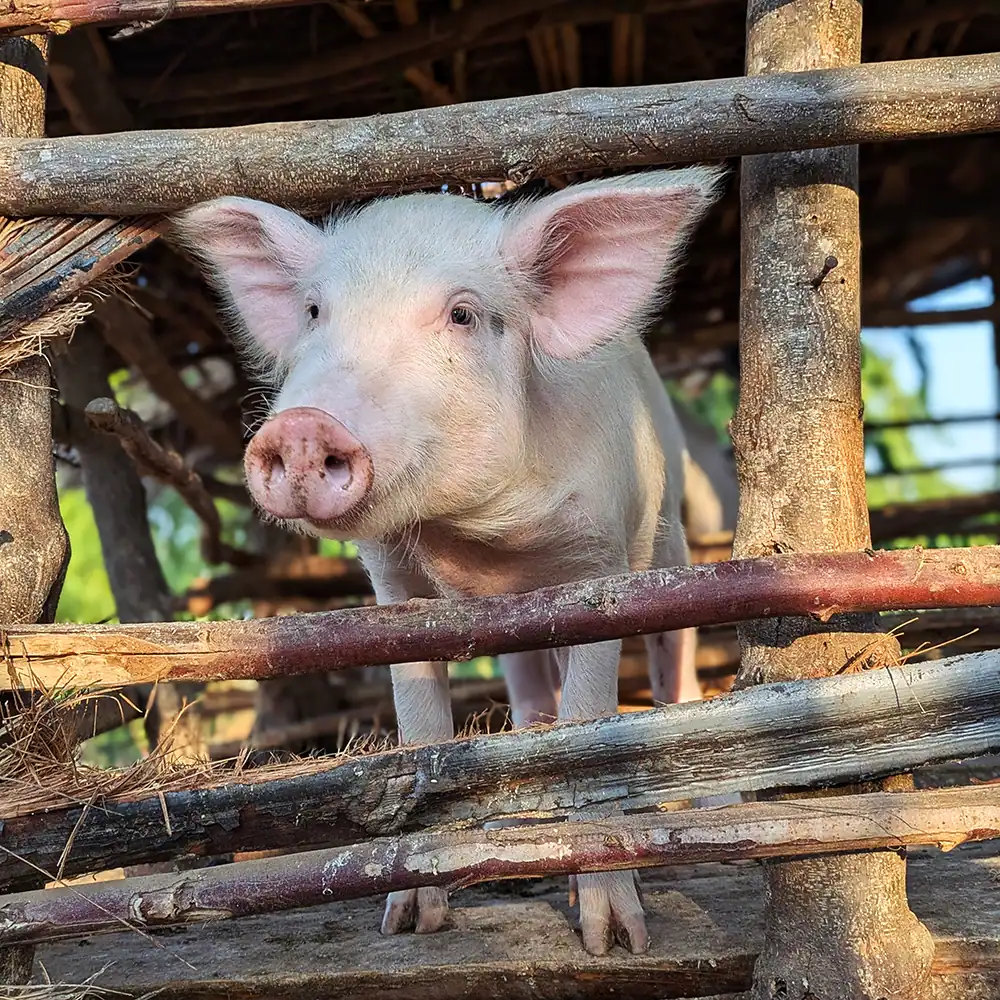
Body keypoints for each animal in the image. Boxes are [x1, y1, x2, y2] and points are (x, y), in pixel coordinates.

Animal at [171, 164, 724, 956]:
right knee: (532, 702)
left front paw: (615, 941)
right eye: (314, 311)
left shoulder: (601, 560)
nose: (303, 427)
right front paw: (407, 923)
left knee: (672, 667)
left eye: (463, 315)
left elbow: (593, 722)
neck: (481, 540)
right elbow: (421, 726)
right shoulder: (396, 588)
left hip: (671, 531)